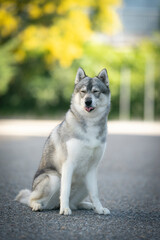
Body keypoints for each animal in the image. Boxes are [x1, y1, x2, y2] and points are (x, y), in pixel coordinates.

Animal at [15, 68, 111, 216]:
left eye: (95, 91)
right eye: (83, 92)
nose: (88, 102)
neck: (90, 123)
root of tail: (53, 205)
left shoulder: (92, 168)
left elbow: (94, 193)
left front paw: (99, 208)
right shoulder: (68, 164)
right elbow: (65, 190)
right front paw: (65, 210)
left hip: (84, 181)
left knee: (75, 203)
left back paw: (88, 205)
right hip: (54, 179)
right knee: (32, 199)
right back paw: (39, 205)